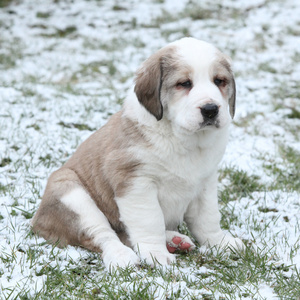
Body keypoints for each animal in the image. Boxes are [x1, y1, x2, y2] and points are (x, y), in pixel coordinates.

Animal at [31, 37, 244, 270]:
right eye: (184, 84)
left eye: (219, 81)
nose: (210, 109)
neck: (182, 138)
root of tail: (37, 222)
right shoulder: (136, 183)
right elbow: (150, 220)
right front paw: (156, 254)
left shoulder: (205, 180)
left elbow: (207, 217)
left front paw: (219, 242)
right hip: (70, 192)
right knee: (102, 234)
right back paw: (122, 256)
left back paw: (174, 240)